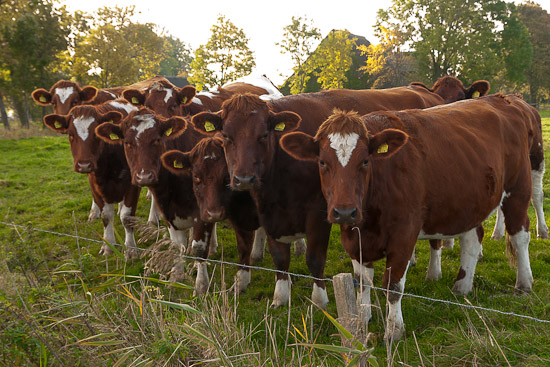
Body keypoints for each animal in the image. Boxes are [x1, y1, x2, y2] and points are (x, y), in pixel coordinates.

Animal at [95, 107, 216, 294]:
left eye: (157, 139)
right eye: (127, 143)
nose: (144, 176)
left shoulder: (203, 213)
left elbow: (199, 248)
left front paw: (201, 285)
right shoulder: (167, 210)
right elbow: (176, 245)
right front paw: (176, 276)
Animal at [282, 95, 536, 342]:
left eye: (365, 161)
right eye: (322, 162)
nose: (344, 212)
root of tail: (503, 99)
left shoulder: (404, 234)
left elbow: (393, 285)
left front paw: (394, 330)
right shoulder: (354, 240)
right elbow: (362, 281)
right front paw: (361, 321)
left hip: (518, 188)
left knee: (520, 235)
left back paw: (523, 283)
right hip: (470, 201)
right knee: (472, 241)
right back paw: (461, 286)